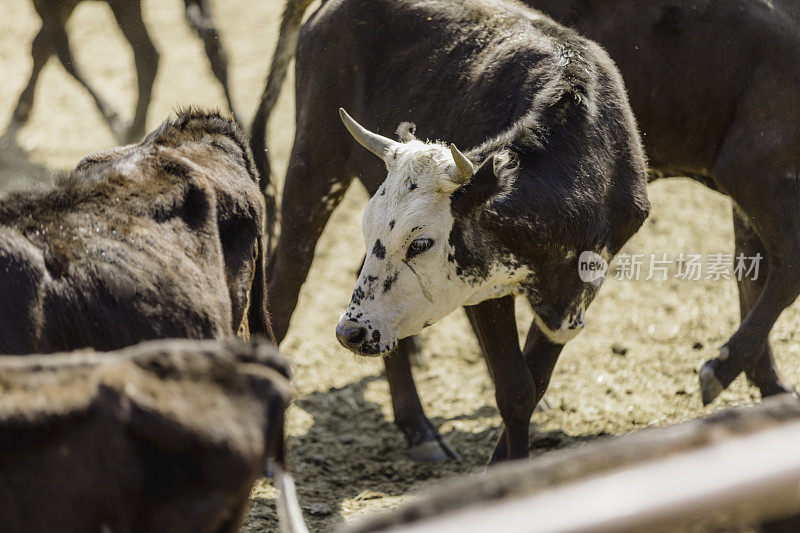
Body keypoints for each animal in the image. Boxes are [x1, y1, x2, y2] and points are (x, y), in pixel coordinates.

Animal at [11, 0, 238, 143]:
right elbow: (48, 48)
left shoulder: (51, 6)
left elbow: (48, 49)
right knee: (214, 43)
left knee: (147, 55)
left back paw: (133, 131)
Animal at [253, 0, 652, 462]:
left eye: (421, 242)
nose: (350, 333)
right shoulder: (483, 291)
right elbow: (515, 391)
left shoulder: (575, 292)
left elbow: (533, 387)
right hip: (314, 164)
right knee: (285, 286)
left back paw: (418, 427)